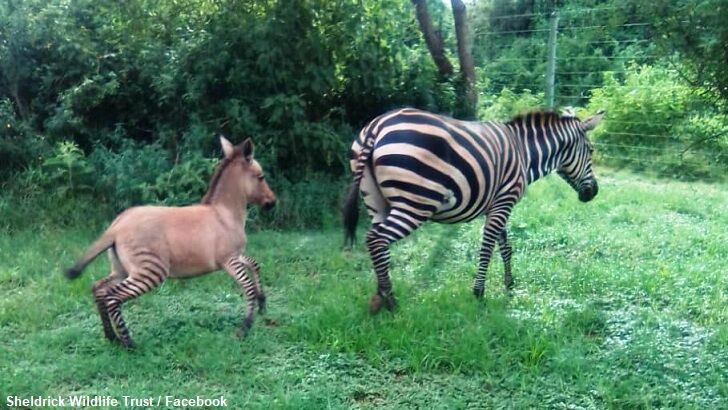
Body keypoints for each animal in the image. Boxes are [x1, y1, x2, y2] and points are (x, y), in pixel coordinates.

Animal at [66, 137, 276, 346]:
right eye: (261, 177)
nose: (273, 203)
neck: (224, 214)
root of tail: (116, 227)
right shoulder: (228, 260)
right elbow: (248, 287)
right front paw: (244, 328)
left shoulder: (236, 256)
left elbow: (255, 264)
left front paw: (262, 303)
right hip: (150, 271)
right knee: (112, 297)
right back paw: (129, 345)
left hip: (122, 270)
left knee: (99, 289)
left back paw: (111, 337)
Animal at [342, 107, 604, 312]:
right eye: (591, 151)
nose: (594, 193)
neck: (524, 153)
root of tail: (376, 126)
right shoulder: (504, 201)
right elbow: (487, 248)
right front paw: (479, 293)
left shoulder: (497, 204)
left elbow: (505, 247)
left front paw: (509, 284)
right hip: (415, 203)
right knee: (376, 239)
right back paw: (390, 301)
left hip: (376, 203)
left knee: (378, 245)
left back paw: (381, 296)